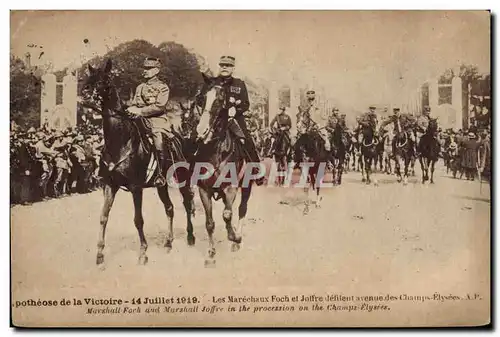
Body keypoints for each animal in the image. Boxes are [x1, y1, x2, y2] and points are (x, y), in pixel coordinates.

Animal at [80, 59, 195, 266]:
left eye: (104, 79)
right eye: (88, 78)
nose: (84, 96)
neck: (120, 141)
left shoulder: (136, 187)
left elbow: (138, 219)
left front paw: (143, 253)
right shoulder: (109, 185)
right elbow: (103, 217)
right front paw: (100, 254)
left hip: (182, 179)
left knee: (187, 203)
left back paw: (190, 237)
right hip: (161, 185)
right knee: (170, 208)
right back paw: (168, 243)